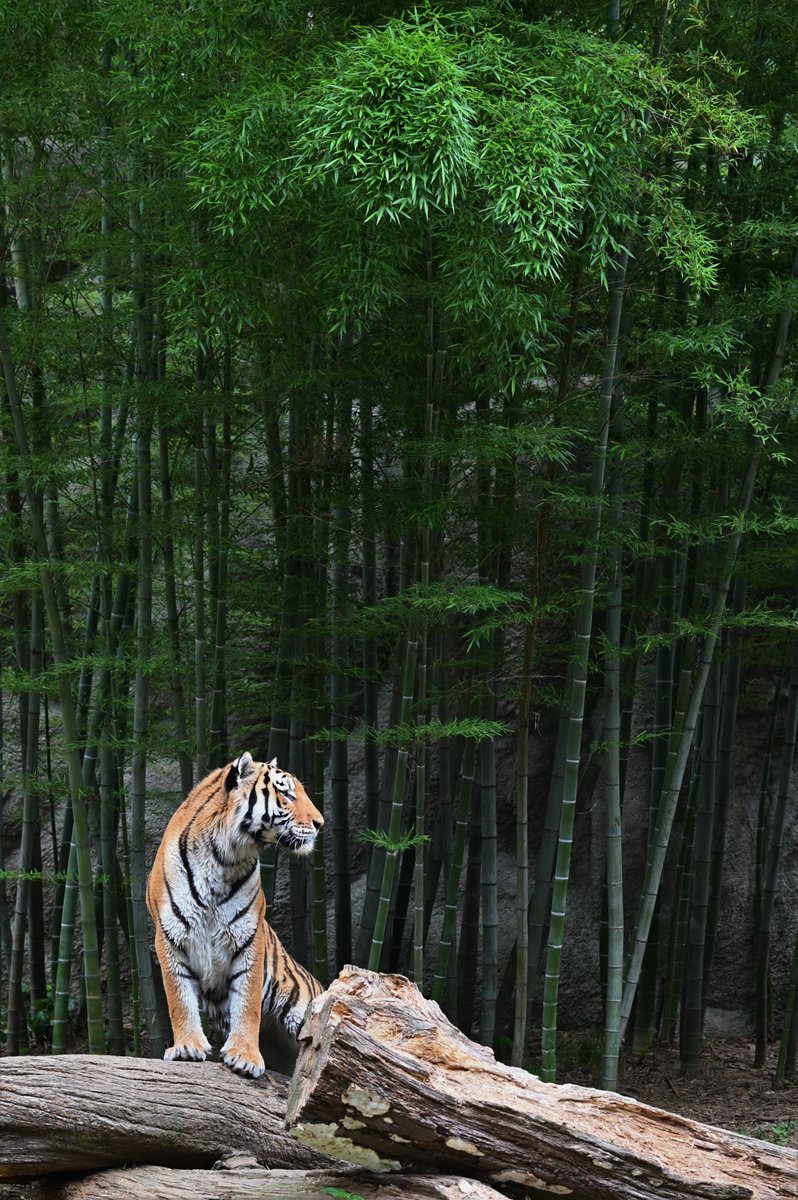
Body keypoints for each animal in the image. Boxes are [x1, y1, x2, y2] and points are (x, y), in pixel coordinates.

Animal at [146, 748, 324, 1080]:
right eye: (286, 793)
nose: (321, 823)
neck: (223, 857)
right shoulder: (170, 937)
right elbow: (179, 998)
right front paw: (187, 1047)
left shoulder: (247, 937)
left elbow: (247, 1002)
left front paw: (244, 1056)